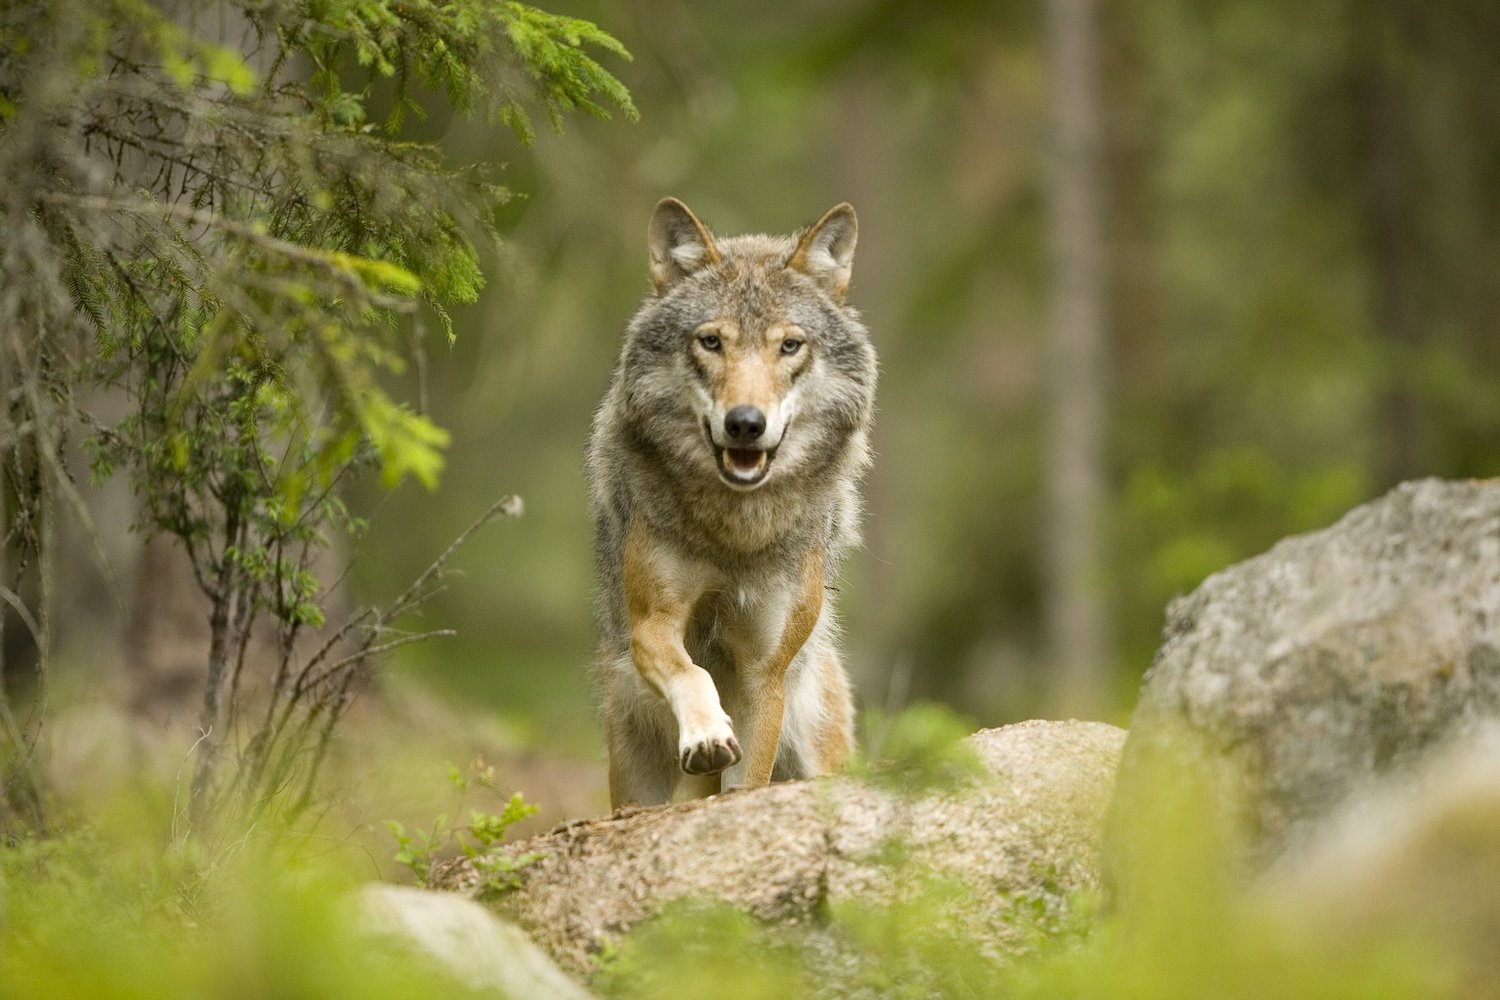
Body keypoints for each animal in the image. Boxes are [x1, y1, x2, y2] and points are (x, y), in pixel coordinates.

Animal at [587, 197, 878, 808]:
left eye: (789, 345)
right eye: (711, 342)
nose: (746, 423)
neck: (737, 530)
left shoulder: (764, 673)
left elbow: (747, 783)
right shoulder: (653, 623)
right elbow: (692, 674)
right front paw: (706, 734)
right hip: (633, 771)